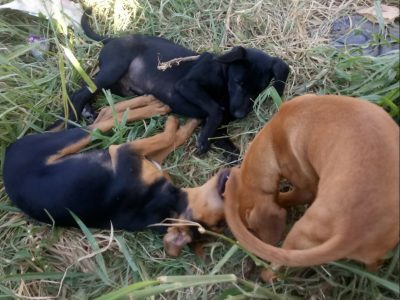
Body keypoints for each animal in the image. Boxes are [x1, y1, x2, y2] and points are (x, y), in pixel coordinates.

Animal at [3, 95, 228, 243]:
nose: (227, 176)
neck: (166, 206)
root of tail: (7, 154)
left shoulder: (148, 158)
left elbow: (173, 138)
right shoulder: (123, 151)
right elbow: (171, 136)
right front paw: (183, 122)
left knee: (103, 116)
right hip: (68, 140)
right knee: (104, 121)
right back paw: (152, 106)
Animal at [67, 9, 290, 155]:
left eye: (258, 91)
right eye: (238, 83)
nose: (240, 115)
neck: (223, 75)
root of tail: (111, 39)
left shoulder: (220, 132)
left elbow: (234, 155)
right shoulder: (187, 85)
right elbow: (215, 109)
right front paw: (202, 140)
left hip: (120, 88)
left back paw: (86, 112)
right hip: (114, 69)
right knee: (78, 94)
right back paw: (71, 124)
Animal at [223, 94, 398, 278]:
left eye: (251, 228)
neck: (272, 137)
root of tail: (349, 232)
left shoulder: (304, 187)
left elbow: (284, 198)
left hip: (297, 235)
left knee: (277, 266)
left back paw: (266, 274)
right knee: (374, 265)